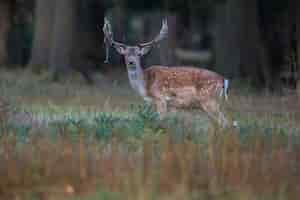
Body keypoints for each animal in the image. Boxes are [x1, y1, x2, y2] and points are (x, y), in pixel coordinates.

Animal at [102, 17, 230, 126]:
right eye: (125, 54)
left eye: (139, 54)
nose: (131, 62)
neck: (145, 84)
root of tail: (223, 80)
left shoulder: (161, 98)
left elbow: (161, 121)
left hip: (209, 100)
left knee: (225, 123)